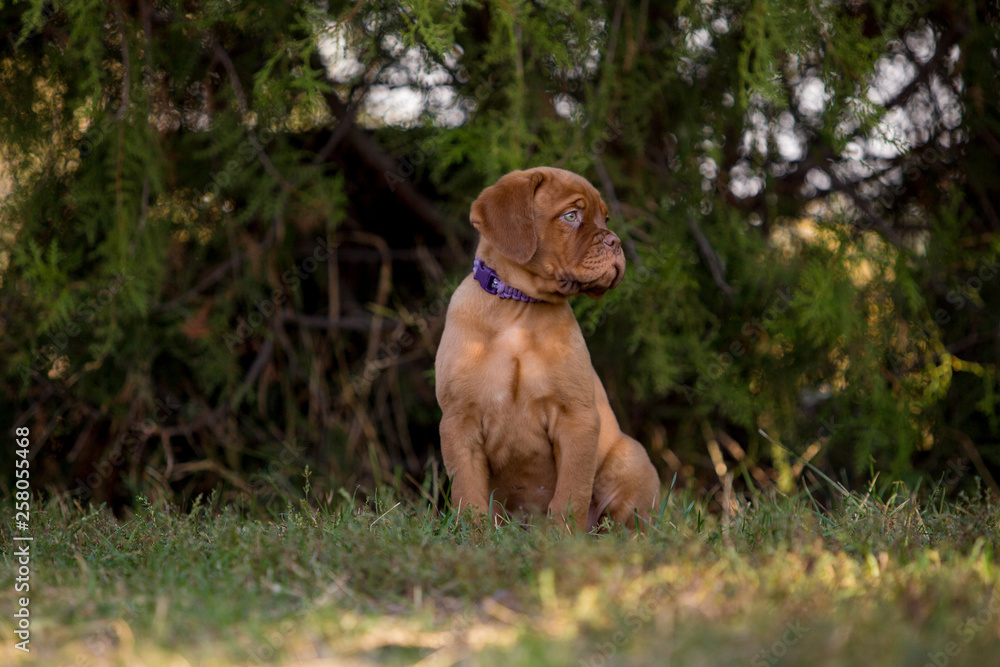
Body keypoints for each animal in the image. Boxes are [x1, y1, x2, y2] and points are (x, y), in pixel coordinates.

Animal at [436, 167, 656, 532]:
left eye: (605, 218)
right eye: (571, 216)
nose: (616, 242)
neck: (518, 308)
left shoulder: (576, 418)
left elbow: (570, 494)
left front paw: (564, 539)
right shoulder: (459, 421)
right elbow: (469, 497)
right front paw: (474, 538)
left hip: (631, 458)